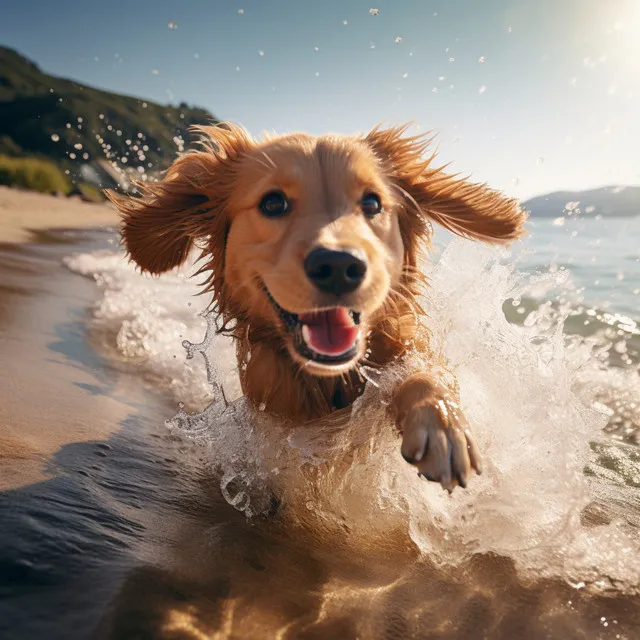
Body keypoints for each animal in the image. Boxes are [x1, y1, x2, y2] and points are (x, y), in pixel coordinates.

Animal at [107, 122, 528, 492]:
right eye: (273, 202)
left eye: (372, 202)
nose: (339, 266)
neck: (332, 378)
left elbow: (422, 374)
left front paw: (441, 424)